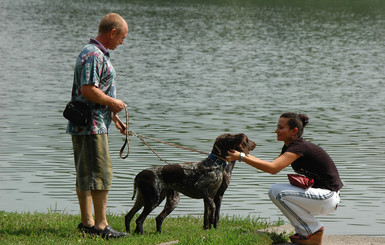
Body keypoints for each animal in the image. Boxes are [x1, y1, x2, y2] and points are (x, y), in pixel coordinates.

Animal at [124, 133, 255, 234]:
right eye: (229, 136)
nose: (243, 134)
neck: (215, 164)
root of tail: (140, 174)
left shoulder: (211, 195)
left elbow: (207, 216)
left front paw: (207, 229)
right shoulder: (203, 189)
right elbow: (213, 209)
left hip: (156, 200)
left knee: (136, 216)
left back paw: (137, 233)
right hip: (153, 200)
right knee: (139, 220)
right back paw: (141, 233)